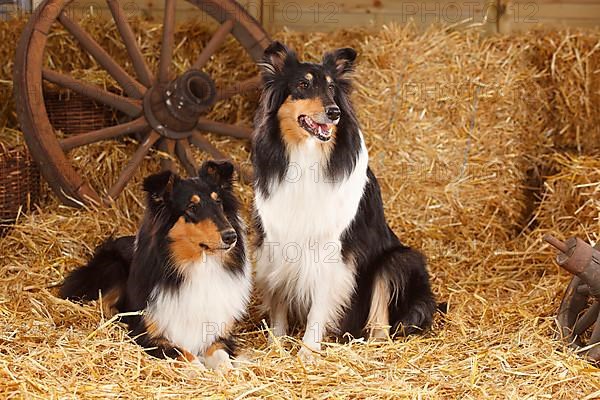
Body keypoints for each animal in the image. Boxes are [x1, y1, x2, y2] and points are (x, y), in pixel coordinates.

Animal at [59, 160, 250, 368]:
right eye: (192, 207)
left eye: (218, 202)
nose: (231, 236)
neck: (199, 265)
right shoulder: (148, 335)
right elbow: (185, 355)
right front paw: (200, 369)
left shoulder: (219, 334)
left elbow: (222, 358)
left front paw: (229, 371)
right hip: (113, 267)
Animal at [253, 42, 436, 358]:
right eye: (303, 85)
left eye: (331, 88)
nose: (334, 112)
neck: (306, 157)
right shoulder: (275, 242)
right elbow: (278, 297)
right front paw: (276, 345)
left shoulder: (332, 252)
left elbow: (319, 306)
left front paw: (307, 352)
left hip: (399, 259)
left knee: (381, 320)